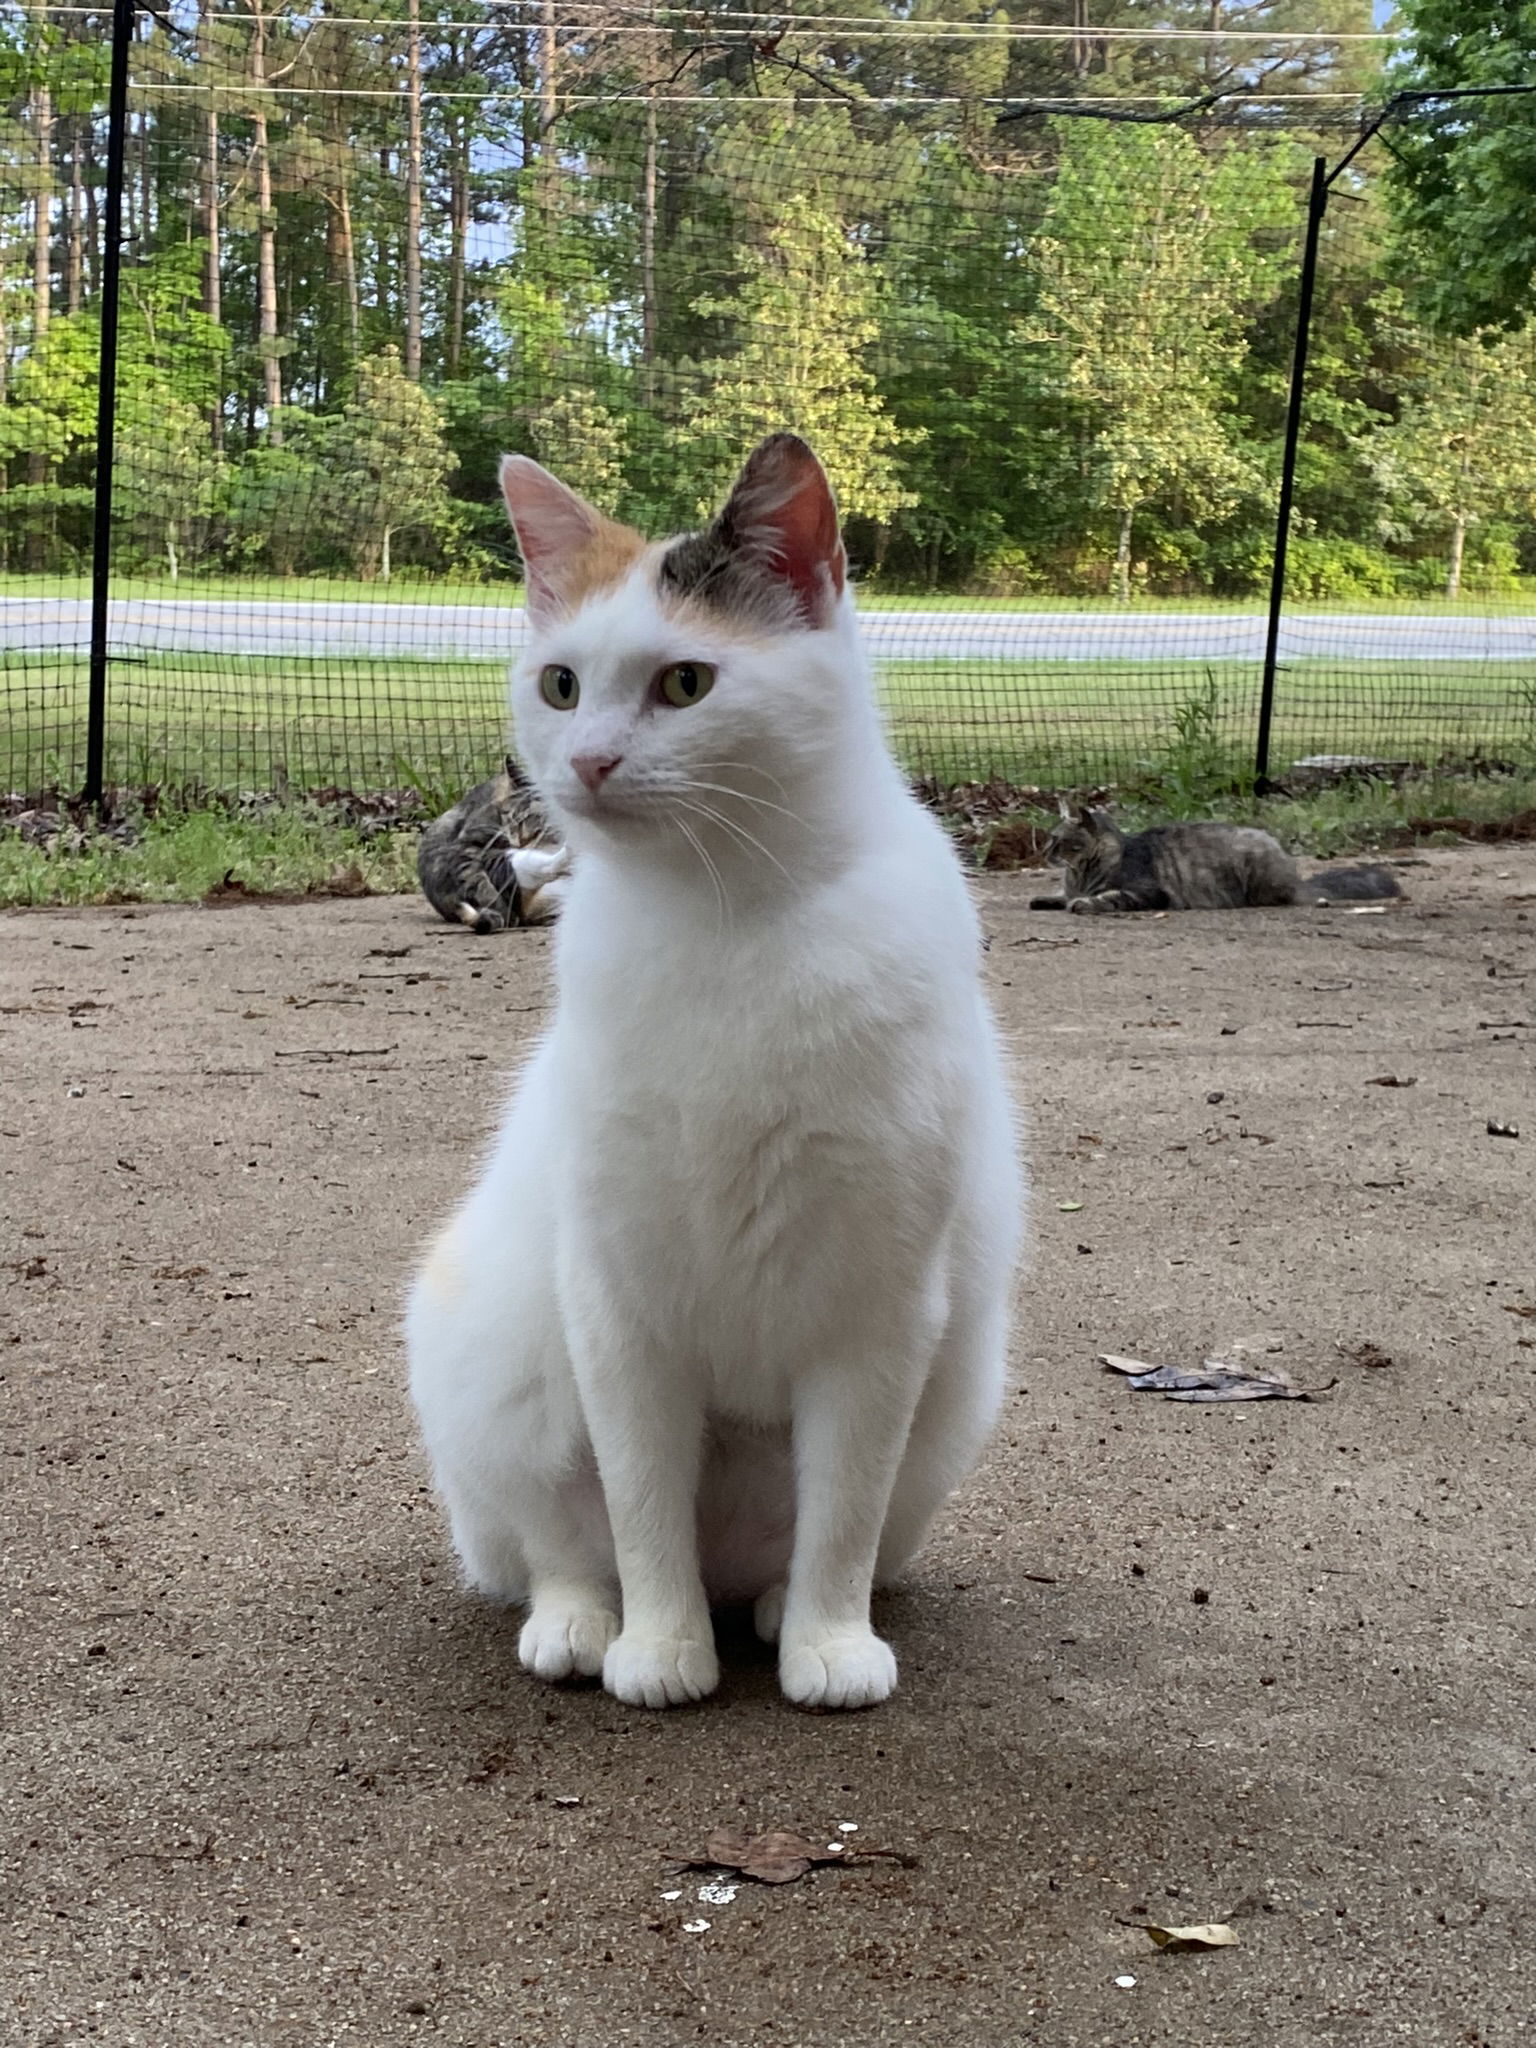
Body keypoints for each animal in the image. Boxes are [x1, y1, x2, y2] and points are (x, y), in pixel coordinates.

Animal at [1036, 806, 1409, 913]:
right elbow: (1057, 896)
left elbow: (1106, 897)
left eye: (1060, 841)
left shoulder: (1147, 892)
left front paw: (1084, 903)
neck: (1079, 874)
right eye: (1050, 838)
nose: (1045, 852)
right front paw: (1049, 899)